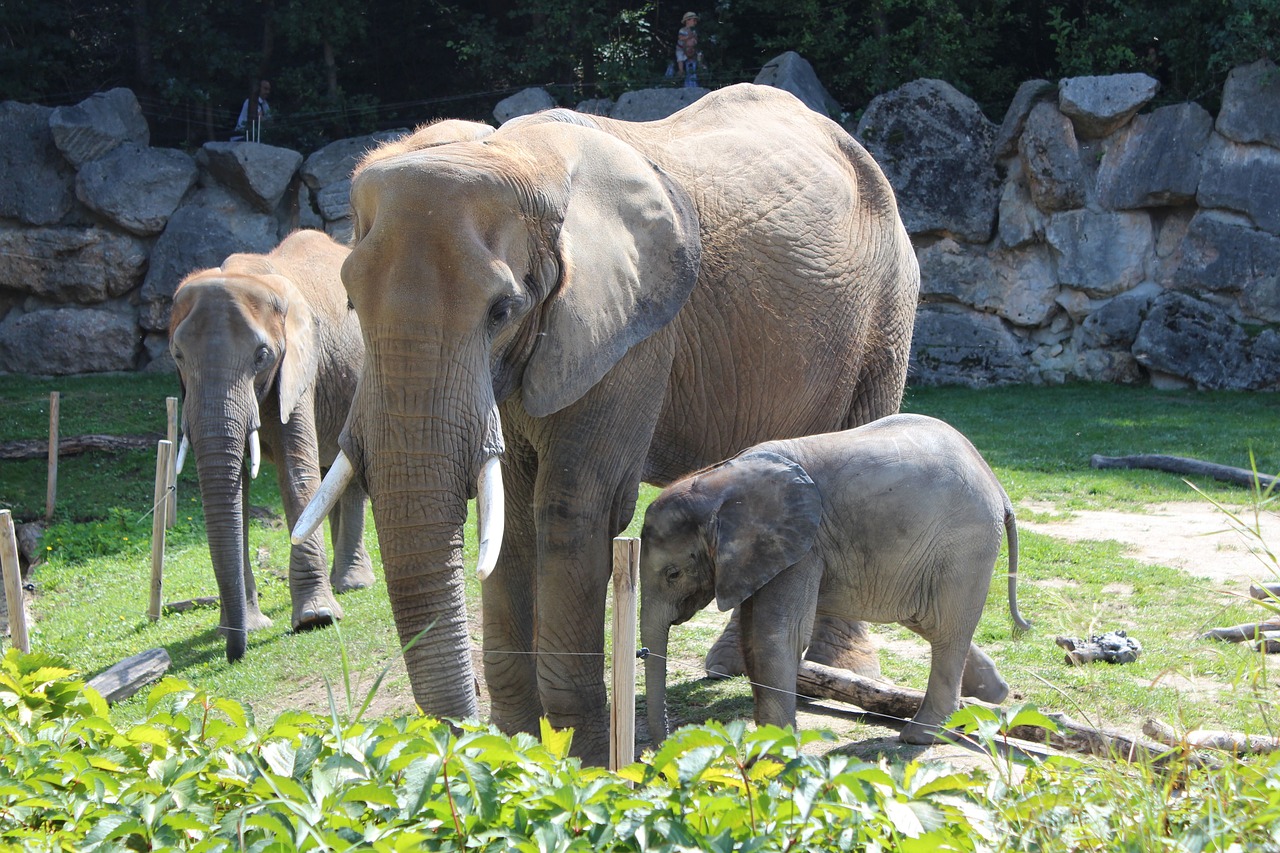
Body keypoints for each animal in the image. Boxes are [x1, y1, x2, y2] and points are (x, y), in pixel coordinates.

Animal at [170, 229, 373, 660]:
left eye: (262, 356)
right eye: (177, 355)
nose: (235, 652)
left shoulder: (299, 368)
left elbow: (297, 476)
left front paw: (316, 619)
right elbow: (237, 492)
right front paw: (248, 626)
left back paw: (352, 584)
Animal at [299, 84, 921, 763]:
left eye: (501, 311)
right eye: (351, 303)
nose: (460, 740)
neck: (518, 157)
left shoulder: (634, 335)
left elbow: (573, 510)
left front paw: (584, 764)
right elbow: (512, 518)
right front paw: (521, 753)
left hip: (890, 299)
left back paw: (844, 669)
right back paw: (729, 665)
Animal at [640, 412, 1029, 742]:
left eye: (673, 574)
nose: (663, 743)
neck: (718, 480)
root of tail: (996, 484)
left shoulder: (802, 549)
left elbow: (775, 635)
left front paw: (777, 747)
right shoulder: (765, 556)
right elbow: (755, 634)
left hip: (964, 545)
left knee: (946, 631)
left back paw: (920, 736)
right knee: (928, 621)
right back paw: (993, 694)